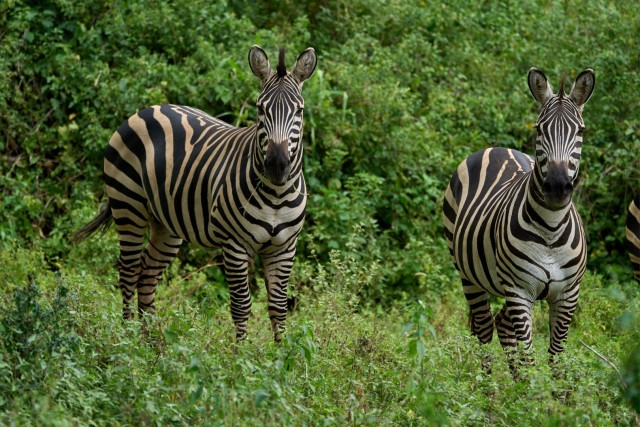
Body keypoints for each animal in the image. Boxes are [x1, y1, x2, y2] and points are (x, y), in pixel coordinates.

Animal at [72, 45, 318, 342]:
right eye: (260, 109)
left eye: (299, 111)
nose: (277, 165)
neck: (276, 194)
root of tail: (149, 109)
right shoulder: (234, 245)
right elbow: (241, 305)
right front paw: (241, 353)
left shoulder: (284, 247)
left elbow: (279, 308)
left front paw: (282, 353)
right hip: (128, 205)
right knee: (128, 271)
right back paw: (128, 339)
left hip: (166, 223)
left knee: (147, 274)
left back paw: (152, 343)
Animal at [442, 68, 596, 370]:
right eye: (539, 129)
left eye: (580, 131)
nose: (557, 187)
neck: (551, 229)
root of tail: (496, 148)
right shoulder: (519, 290)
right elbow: (529, 358)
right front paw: (530, 385)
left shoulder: (568, 294)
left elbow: (556, 359)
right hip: (467, 274)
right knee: (484, 328)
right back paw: (485, 383)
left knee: (501, 325)